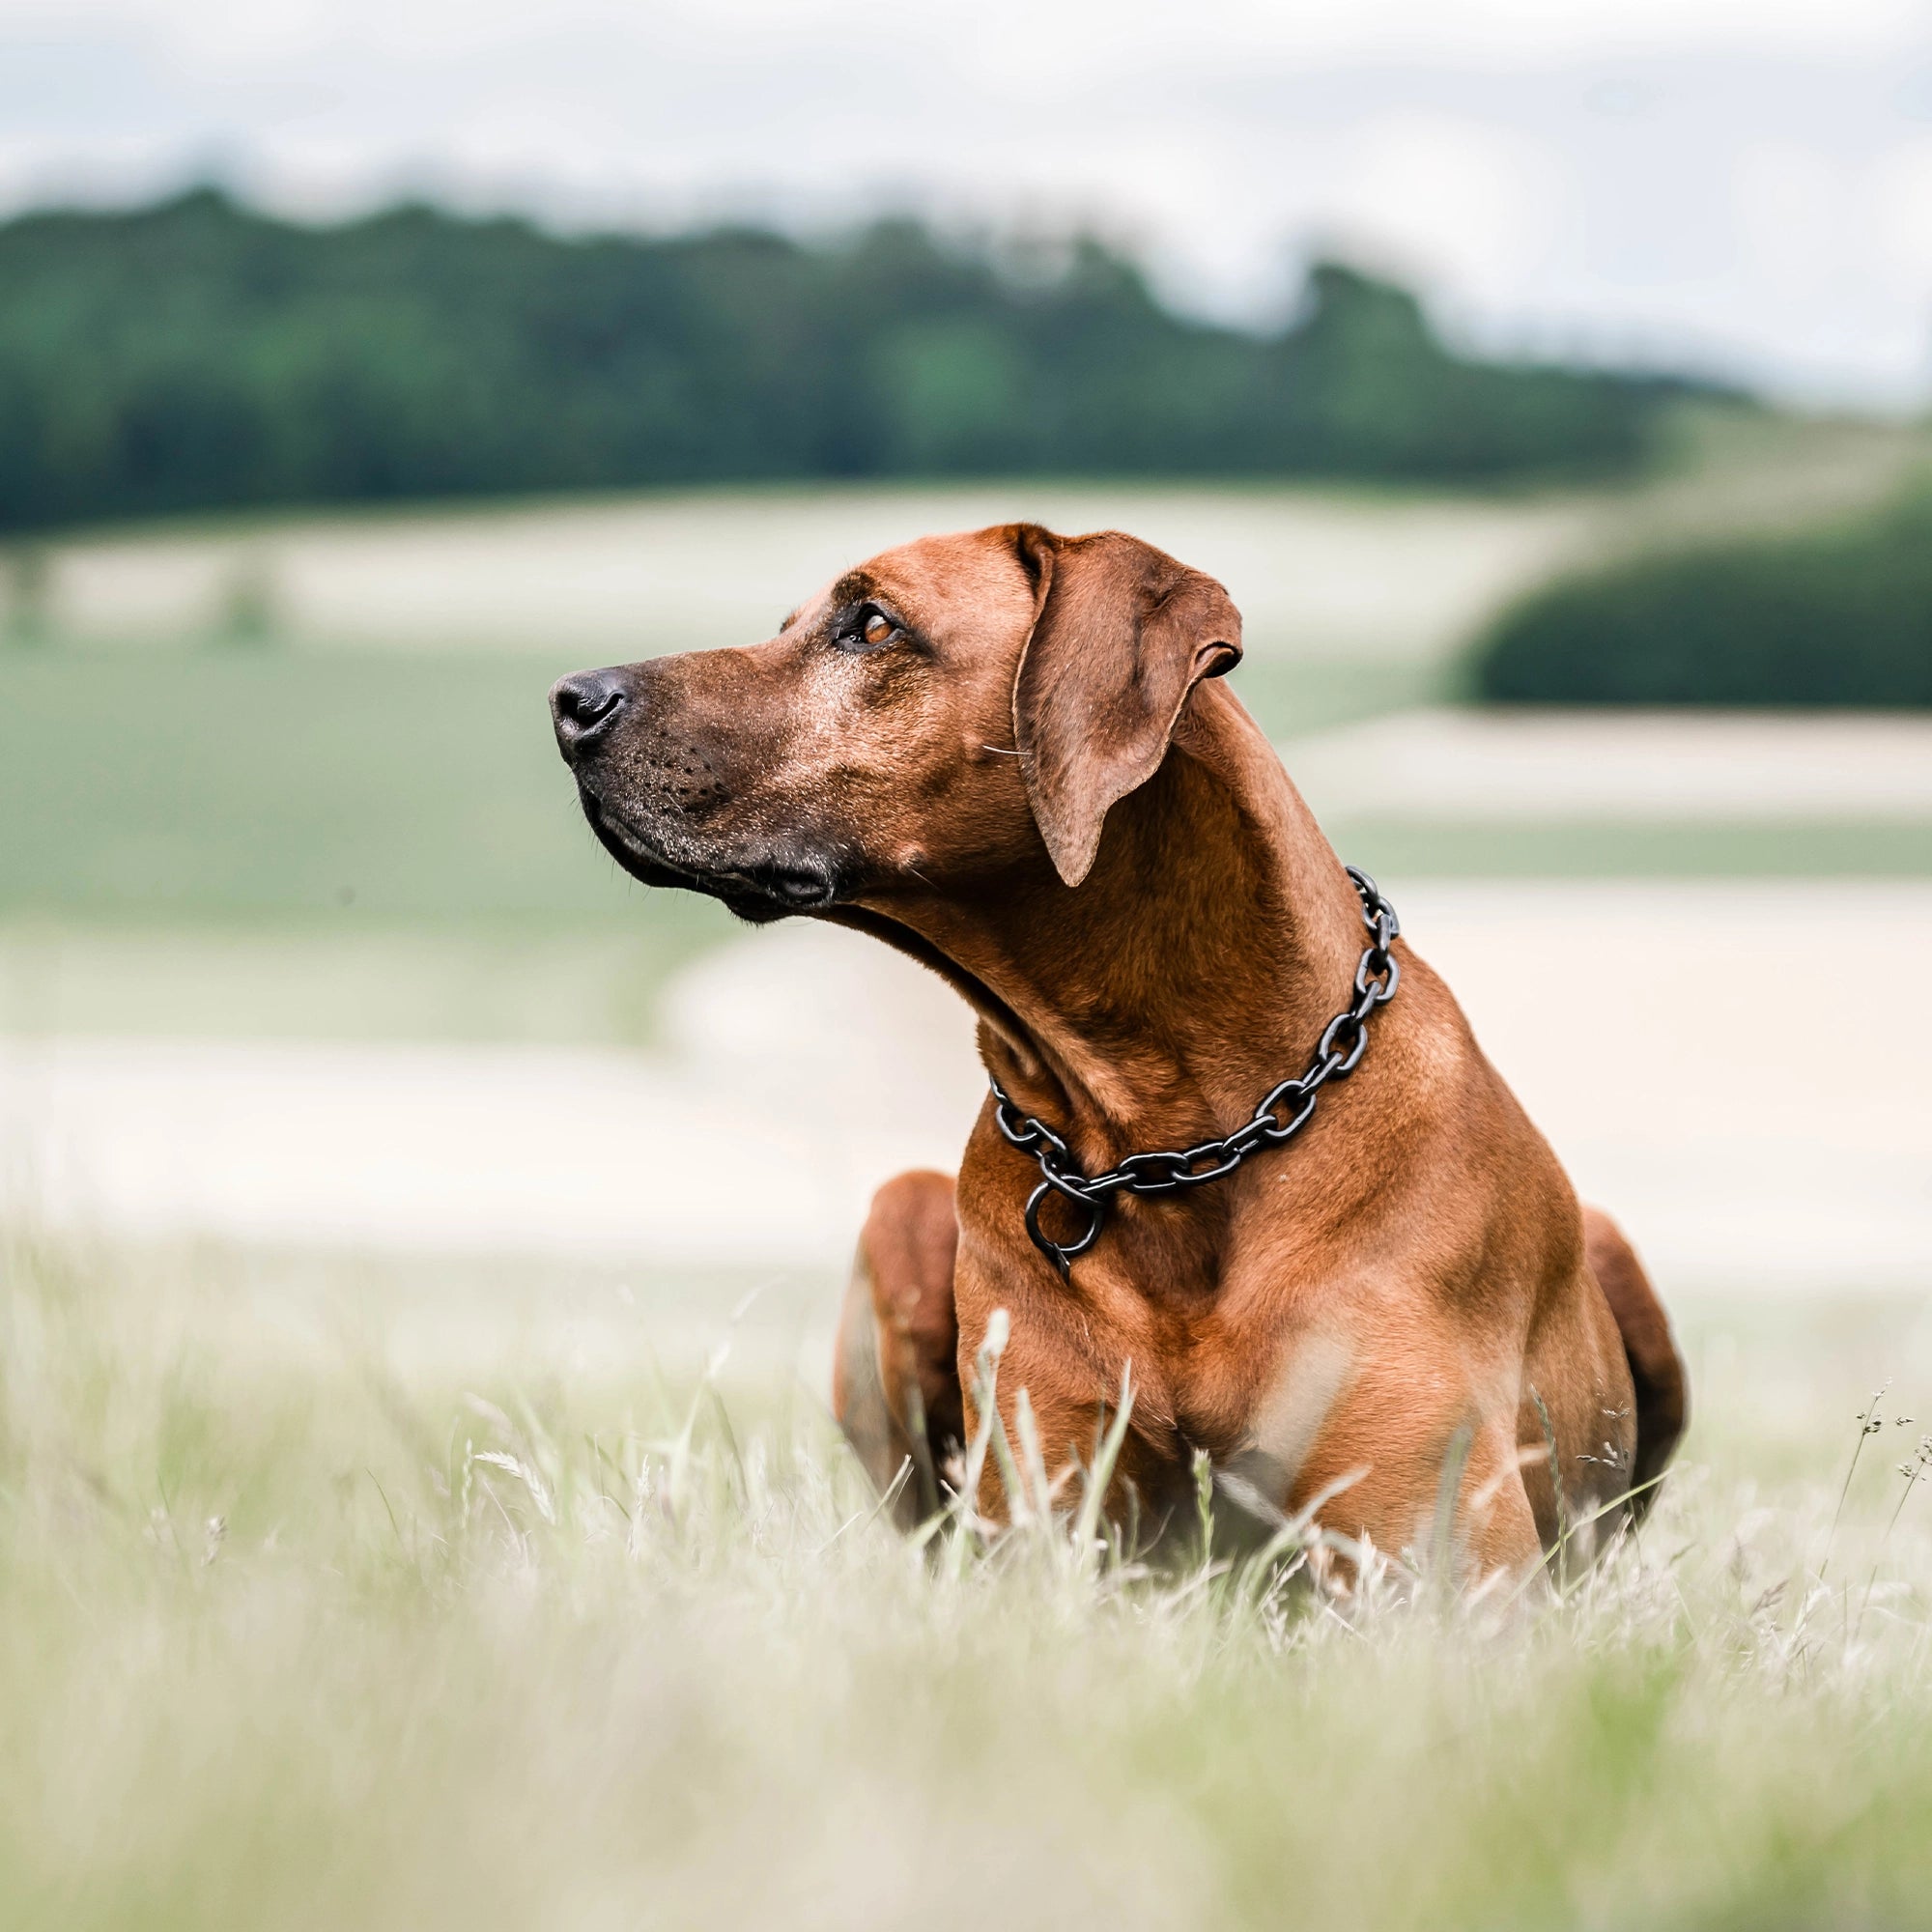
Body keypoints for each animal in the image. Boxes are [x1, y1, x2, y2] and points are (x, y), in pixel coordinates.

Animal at [553, 526, 1685, 1569]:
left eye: (871, 625)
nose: (569, 702)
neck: (1162, 1139)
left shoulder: (1445, 1562)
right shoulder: (1044, 1529)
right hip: (900, 1213)